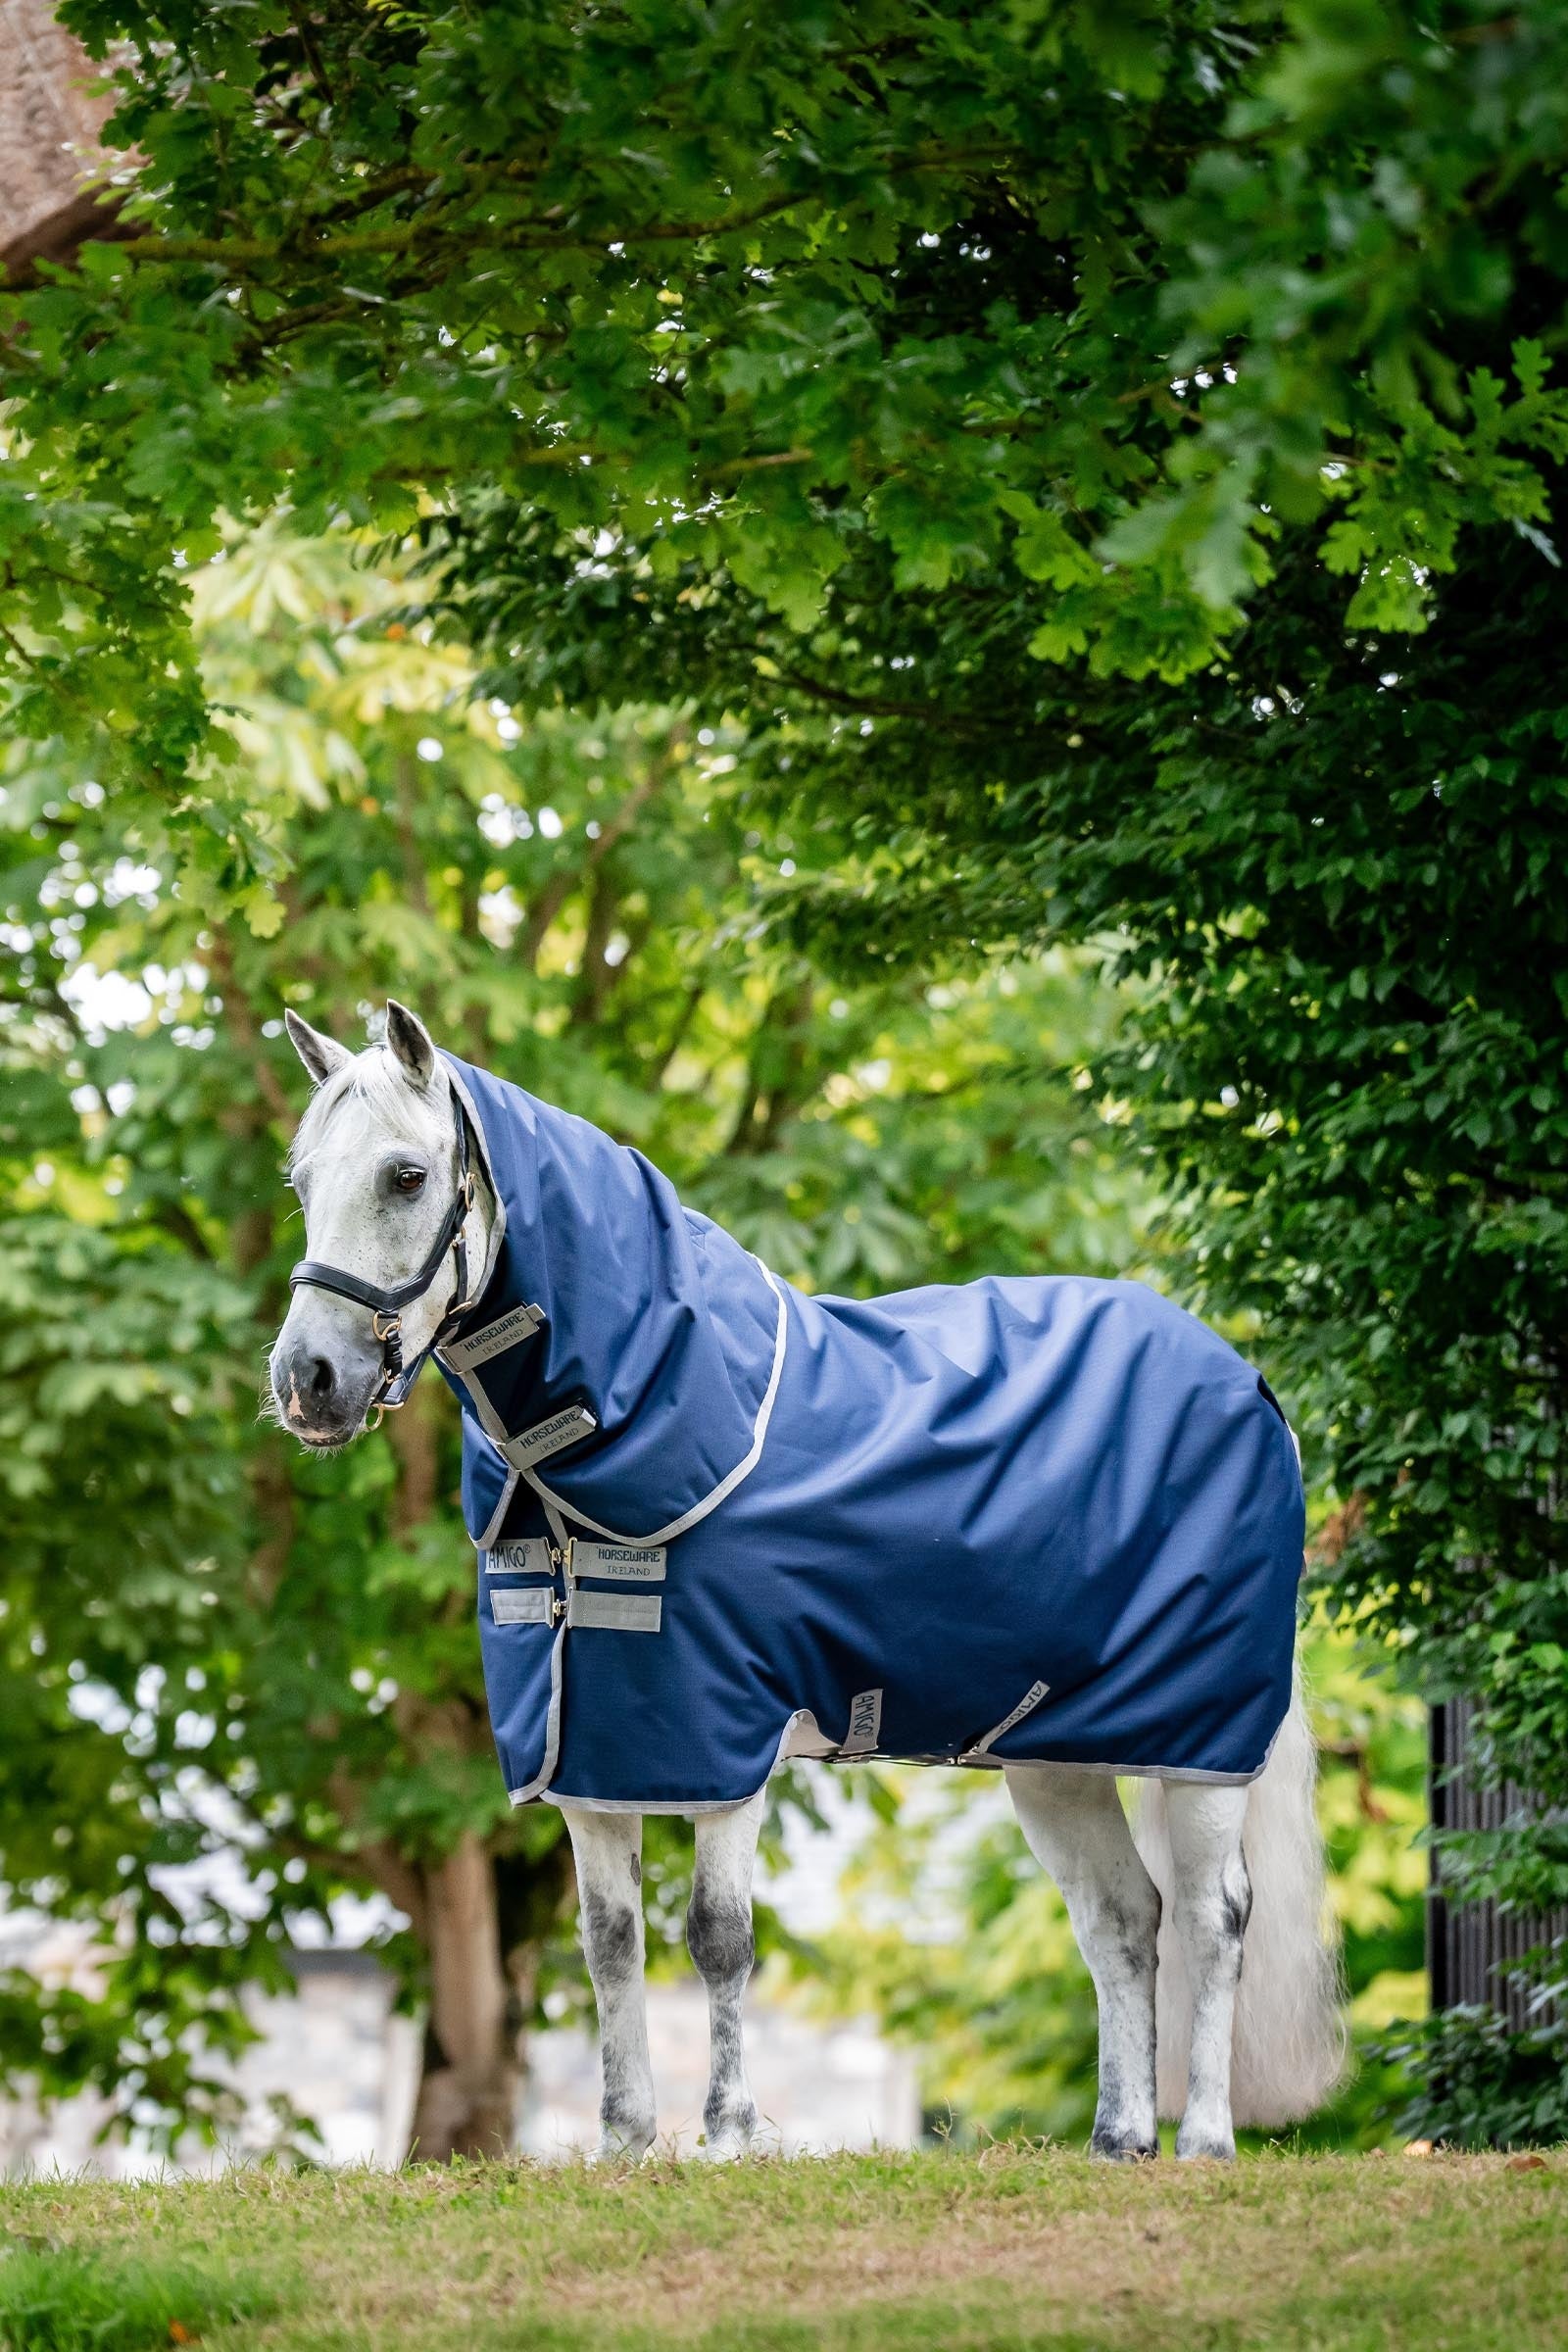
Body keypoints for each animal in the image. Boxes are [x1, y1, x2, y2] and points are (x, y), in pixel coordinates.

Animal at [269, 1000, 1345, 2162]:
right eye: (302, 1180)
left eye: (407, 1176)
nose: (308, 1381)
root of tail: (1249, 1386)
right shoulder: (592, 1749)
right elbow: (608, 1942)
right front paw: (624, 2143)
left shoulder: (724, 1741)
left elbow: (717, 1937)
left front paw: (730, 2136)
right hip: (1056, 1759)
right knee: (1121, 1920)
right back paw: (1120, 2139)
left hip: (1203, 1743)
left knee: (1211, 1917)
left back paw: (1206, 2142)